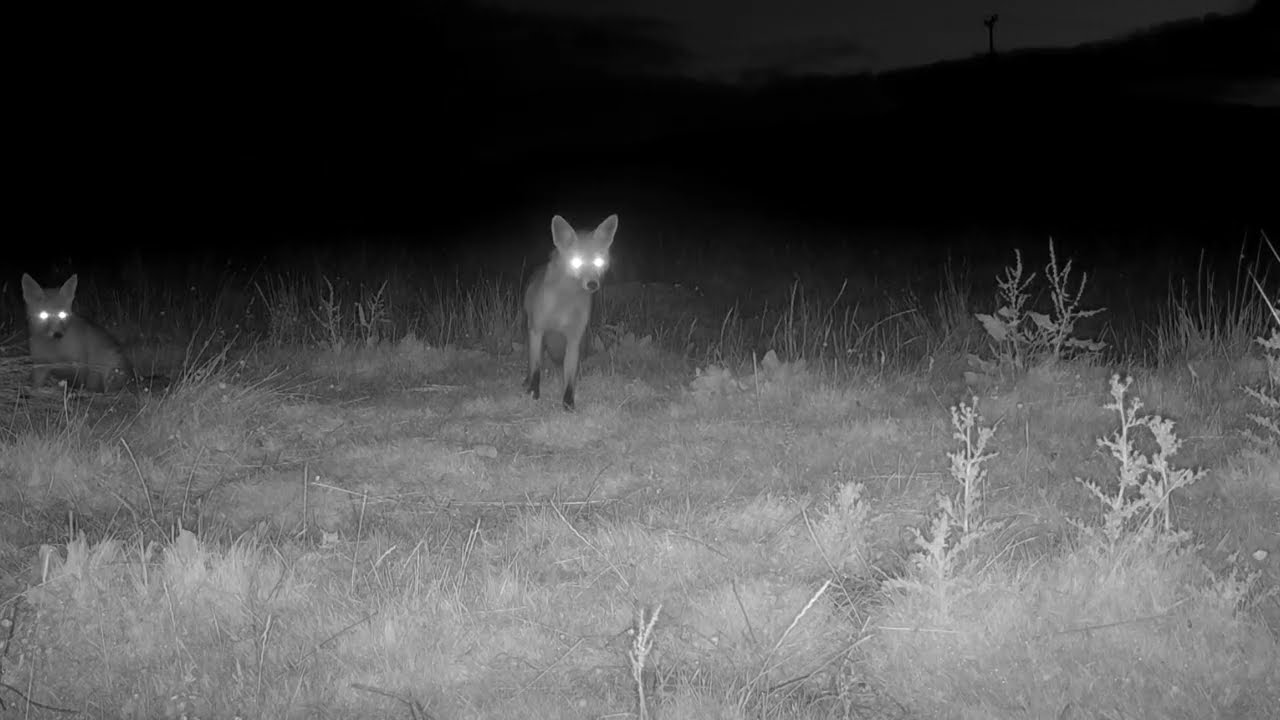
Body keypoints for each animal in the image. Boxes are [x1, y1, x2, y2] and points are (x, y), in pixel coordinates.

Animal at [523, 213, 618, 411]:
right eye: (576, 261)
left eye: (598, 261)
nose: (592, 284)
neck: (564, 304)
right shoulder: (537, 331)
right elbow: (536, 367)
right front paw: (534, 392)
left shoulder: (574, 338)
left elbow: (570, 377)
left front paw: (568, 403)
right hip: (531, 332)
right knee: (532, 362)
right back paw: (527, 383)